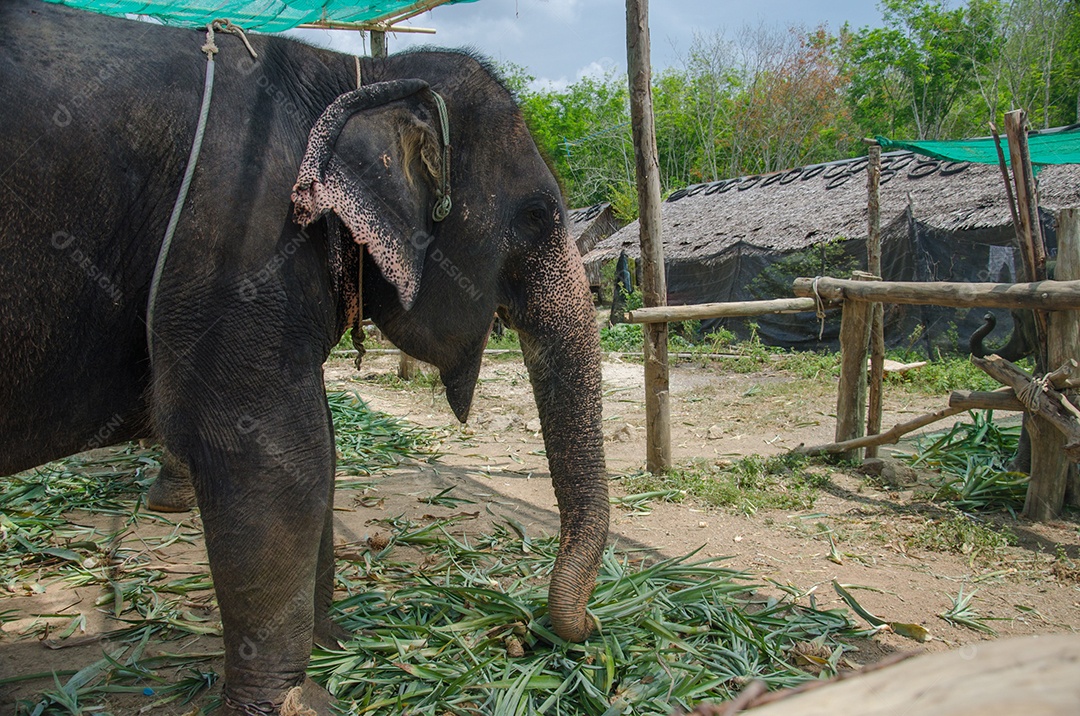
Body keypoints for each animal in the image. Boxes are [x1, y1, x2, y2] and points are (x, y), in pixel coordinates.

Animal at [0, 2, 609, 713]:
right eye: (538, 215)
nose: (586, 630)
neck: (351, 74)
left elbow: (320, 444)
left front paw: (335, 647)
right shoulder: (241, 244)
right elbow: (278, 453)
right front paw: (300, 700)